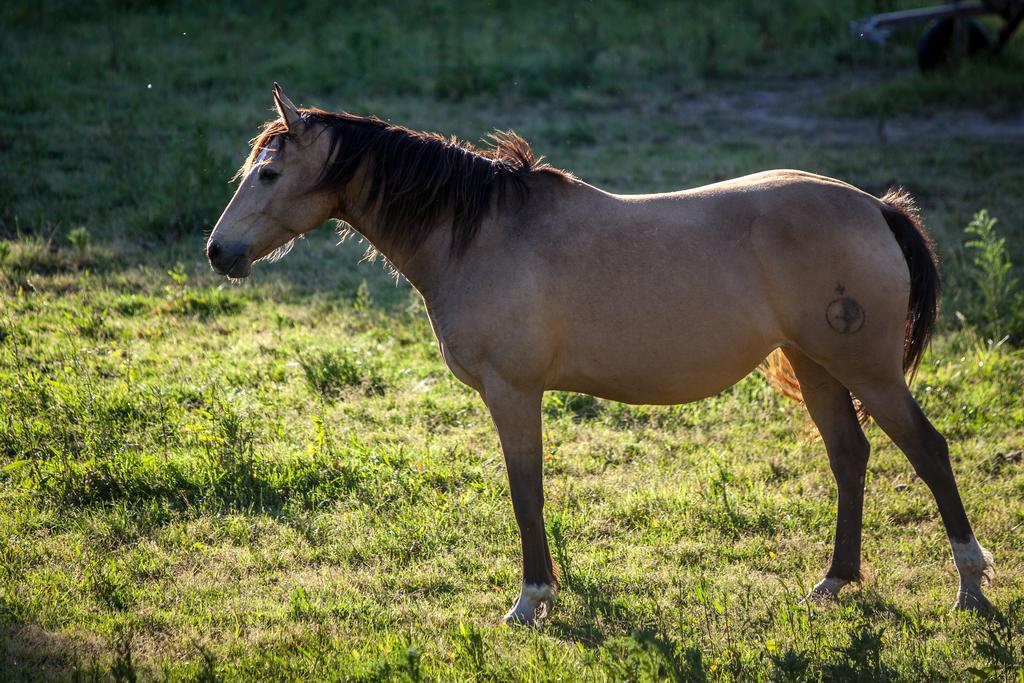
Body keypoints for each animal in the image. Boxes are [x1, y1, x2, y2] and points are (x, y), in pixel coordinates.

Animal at [203, 85, 995, 626]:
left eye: (268, 174)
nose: (218, 252)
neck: (479, 233)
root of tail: (876, 207)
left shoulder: (513, 391)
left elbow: (525, 490)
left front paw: (531, 599)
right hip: (815, 365)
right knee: (849, 457)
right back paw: (834, 582)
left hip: (869, 372)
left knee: (930, 451)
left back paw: (970, 585)